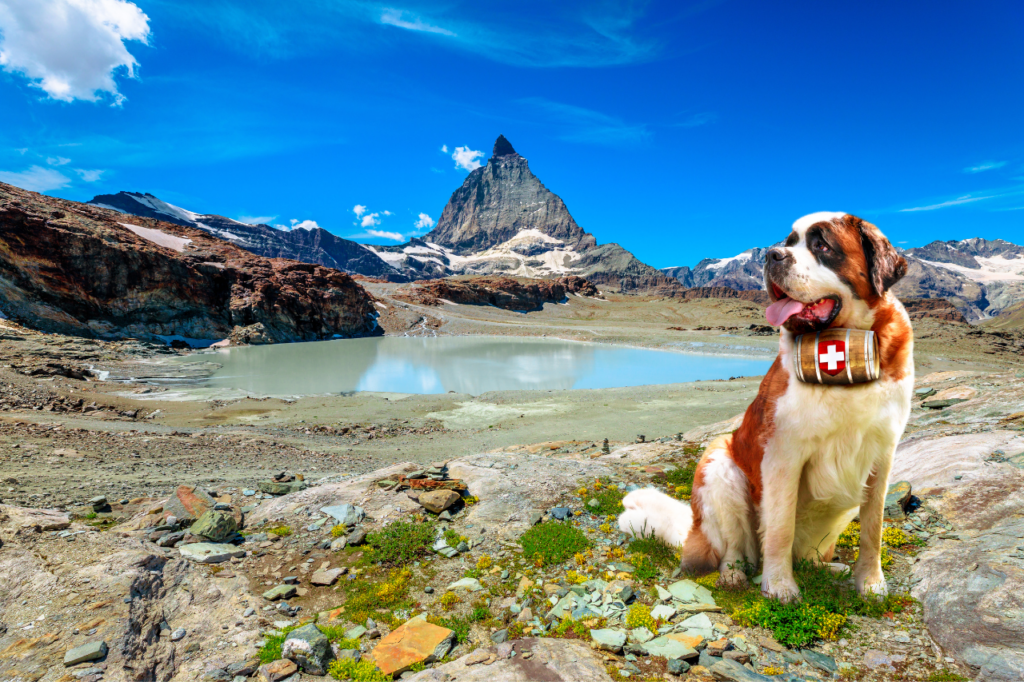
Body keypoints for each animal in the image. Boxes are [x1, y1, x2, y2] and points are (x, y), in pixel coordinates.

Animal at [618, 212, 917, 602]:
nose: (771, 255)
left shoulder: (882, 456)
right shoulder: (782, 456)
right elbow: (780, 527)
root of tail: (695, 535)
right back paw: (734, 575)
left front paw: (870, 583)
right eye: (788, 242)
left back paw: (827, 567)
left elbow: (873, 528)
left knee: (809, 554)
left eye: (822, 245)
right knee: (735, 549)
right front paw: (779, 586)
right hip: (720, 466)